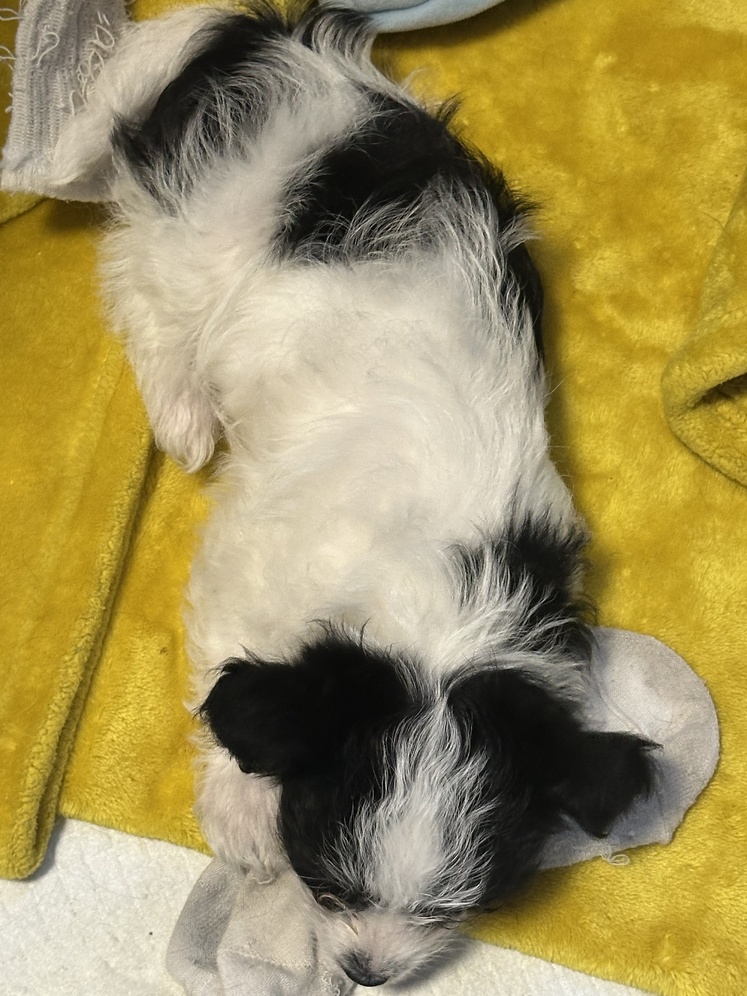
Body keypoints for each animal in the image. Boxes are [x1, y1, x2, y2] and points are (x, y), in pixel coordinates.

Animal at [94, 2, 656, 986]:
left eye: (457, 907)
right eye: (324, 886)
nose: (367, 971)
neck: (437, 611)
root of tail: (267, 45)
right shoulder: (248, 562)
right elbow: (229, 665)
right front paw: (240, 807)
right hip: (201, 234)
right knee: (134, 275)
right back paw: (182, 412)